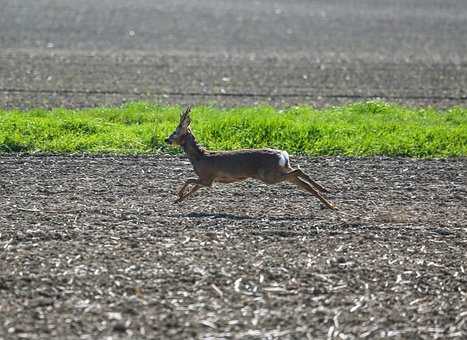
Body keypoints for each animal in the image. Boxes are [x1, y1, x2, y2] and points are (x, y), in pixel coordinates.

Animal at [165, 105, 336, 210]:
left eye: (175, 132)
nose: (166, 140)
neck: (199, 157)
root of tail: (283, 154)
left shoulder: (207, 178)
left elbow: (189, 180)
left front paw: (178, 195)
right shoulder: (206, 180)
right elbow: (192, 187)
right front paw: (178, 200)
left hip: (268, 175)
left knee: (298, 172)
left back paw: (326, 193)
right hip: (280, 169)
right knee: (300, 178)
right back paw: (329, 201)